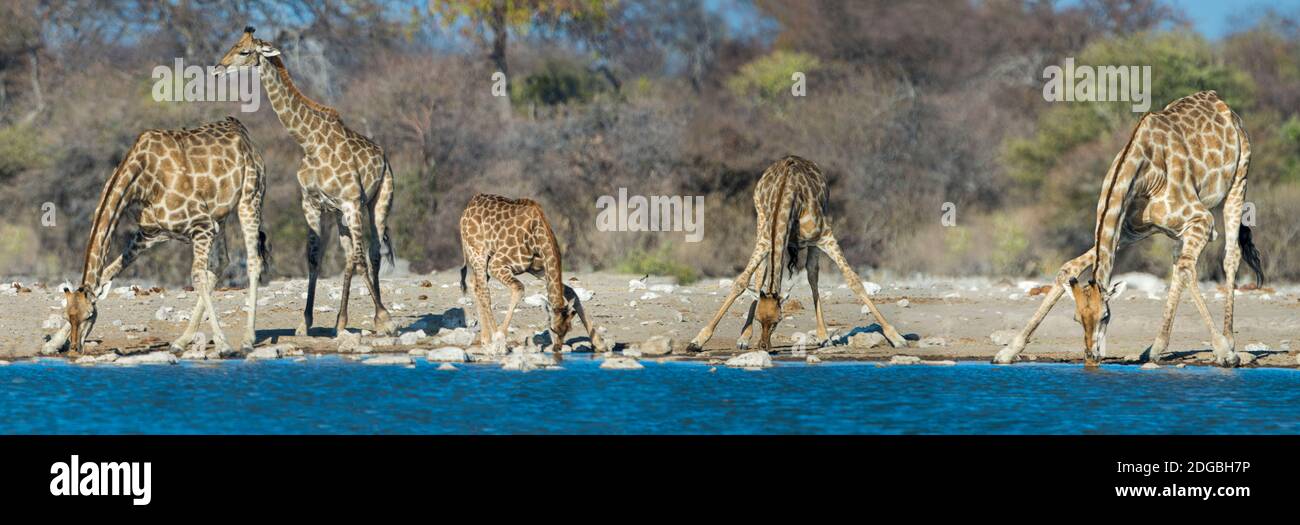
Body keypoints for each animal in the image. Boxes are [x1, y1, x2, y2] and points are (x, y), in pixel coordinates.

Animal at [44, 117, 268, 356]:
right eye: (68, 315)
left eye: (89, 315)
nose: (75, 348)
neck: (140, 181)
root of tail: (243, 133)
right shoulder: (149, 234)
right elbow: (107, 272)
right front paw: (52, 343)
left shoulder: (202, 225)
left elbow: (197, 277)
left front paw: (224, 345)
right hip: (220, 217)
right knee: (222, 262)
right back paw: (181, 341)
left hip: (250, 196)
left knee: (253, 260)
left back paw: (246, 340)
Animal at [217, 27, 397, 337]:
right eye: (233, 45)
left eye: (244, 51)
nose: (219, 68)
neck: (310, 142)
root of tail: (384, 156)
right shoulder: (312, 204)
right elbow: (314, 259)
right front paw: (304, 322)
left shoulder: (351, 201)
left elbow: (362, 260)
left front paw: (385, 320)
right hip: (340, 214)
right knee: (351, 255)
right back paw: (342, 320)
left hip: (377, 201)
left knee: (372, 253)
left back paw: (377, 317)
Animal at [458, 194, 605, 354]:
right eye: (552, 329)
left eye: (568, 330)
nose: (557, 349)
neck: (537, 236)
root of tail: (467, 208)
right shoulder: (497, 264)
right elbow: (519, 288)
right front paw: (499, 339)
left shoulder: (539, 269)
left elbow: (571, 291)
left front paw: (599, 344)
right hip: (478, 253)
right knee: (484, 291)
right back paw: (491, 340)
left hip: (485, 258)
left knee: (475, 283)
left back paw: (485, 340)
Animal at [685, 155, 907, 353]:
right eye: (759, 319)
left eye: (778, 321)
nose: (763, 346)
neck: (790, 198)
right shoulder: (766, 239)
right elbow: (740, 282)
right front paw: (697, 340)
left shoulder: (826, 236)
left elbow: (853, 280)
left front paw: (896, 337)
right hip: (760, 222)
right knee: (760, 275)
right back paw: (743, 338)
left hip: (815, 236)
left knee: (812, 274)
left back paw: (824, 336)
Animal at [993, 91, 1263, 368]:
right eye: (1077, 318)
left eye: (1105, 316)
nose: (1091, 357)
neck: (1143, 175)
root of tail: (1222, 104)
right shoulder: (1127, 231)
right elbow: (1068, 268)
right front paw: (1008, 350)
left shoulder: (1202, 220)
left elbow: (1190, 270)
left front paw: (1224, 351)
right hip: (1174, 230)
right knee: (1178, 262)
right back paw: (1156, 347)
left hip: (1239, 180)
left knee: (1229, 255)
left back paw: (1229, 341)